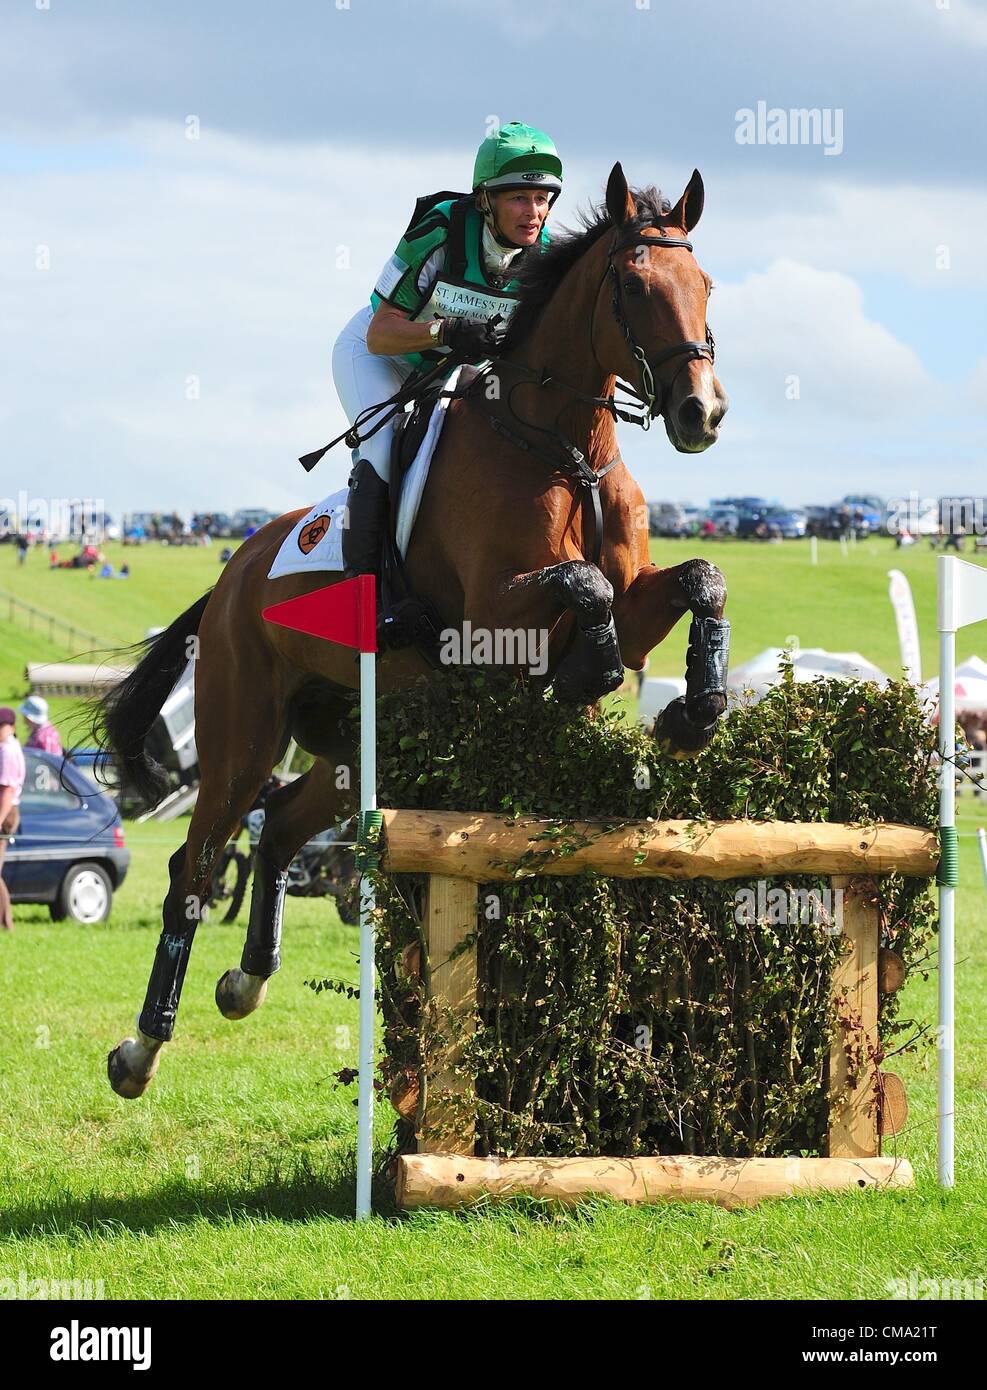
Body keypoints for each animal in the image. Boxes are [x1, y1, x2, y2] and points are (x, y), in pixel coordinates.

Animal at [100, 162, 728, 1095]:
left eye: (705, 285)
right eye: (633, 286)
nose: (700, 414)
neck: (563, 448)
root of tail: (234, 573)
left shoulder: (637, 601)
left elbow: (696, 580)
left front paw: (693, 710)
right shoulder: (491, 617)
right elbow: (580, 588)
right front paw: (592, 674)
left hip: (356, 736)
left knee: (280, 826)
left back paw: (245, 980)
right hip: (242, 731)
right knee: (197, 862)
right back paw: (140, 1048)